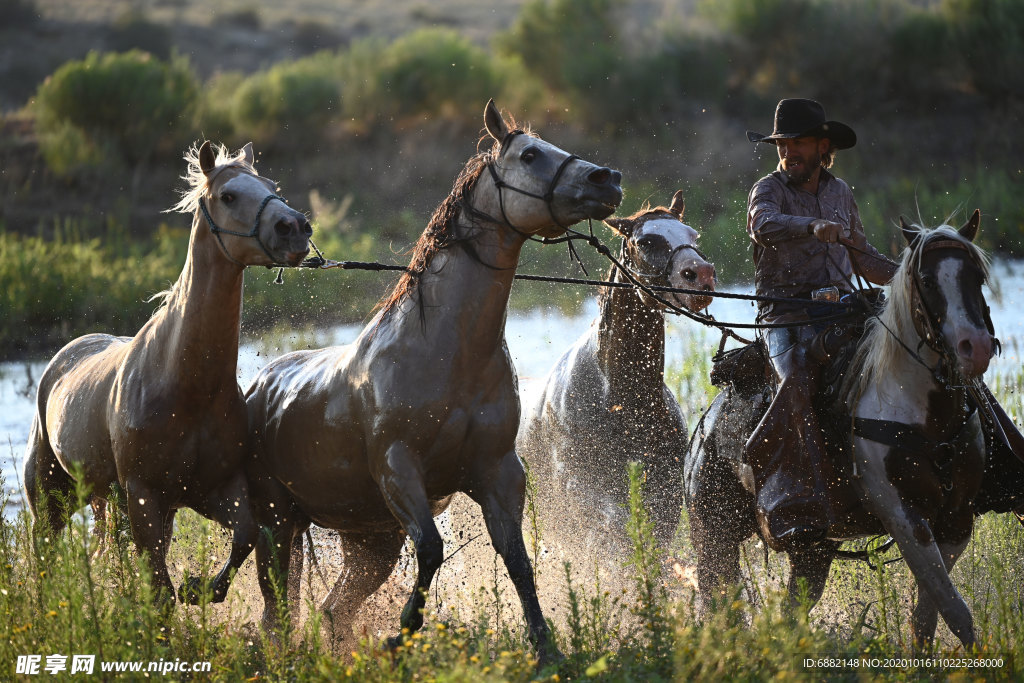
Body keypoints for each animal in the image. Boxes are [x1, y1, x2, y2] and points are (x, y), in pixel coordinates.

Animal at [23, 140, 311, 602]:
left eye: (272, 186)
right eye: (228, 195)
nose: (295, 228)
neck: (186, 385)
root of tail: (61, 359)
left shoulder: (212, 491)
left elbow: (245, 535)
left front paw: (201, 587)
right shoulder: (144, 497)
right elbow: (158, 592)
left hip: (114, 501)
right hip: (53, 497)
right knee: (45, 553)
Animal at [243, 98, 618, 663]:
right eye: (530, 154)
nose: (607, 179)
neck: (446, 350)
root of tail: (257, 389)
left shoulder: (498, 471)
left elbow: (517, 558)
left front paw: (545, 648)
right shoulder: (400, 470)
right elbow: (433, 549)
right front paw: (401, 633)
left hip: (368, 539)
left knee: (331, 610)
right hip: (275, 523)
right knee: (278, 610)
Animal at [516, 188, 716, 557]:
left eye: (693, 235)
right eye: (646, 241)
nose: (701, 274)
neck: (619, 399)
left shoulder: (665, 499)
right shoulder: (584, 495)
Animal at [684, 210, 995, 651]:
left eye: (977, 276)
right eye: (927, 280)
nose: (975, 347)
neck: (924, 415)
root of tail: (702, 431)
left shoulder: (955, 521)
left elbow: (930, 613)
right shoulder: (902, 514)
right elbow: (952, 608)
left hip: (811, 551)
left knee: (791, 609)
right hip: (714, 534)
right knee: (718, 601)